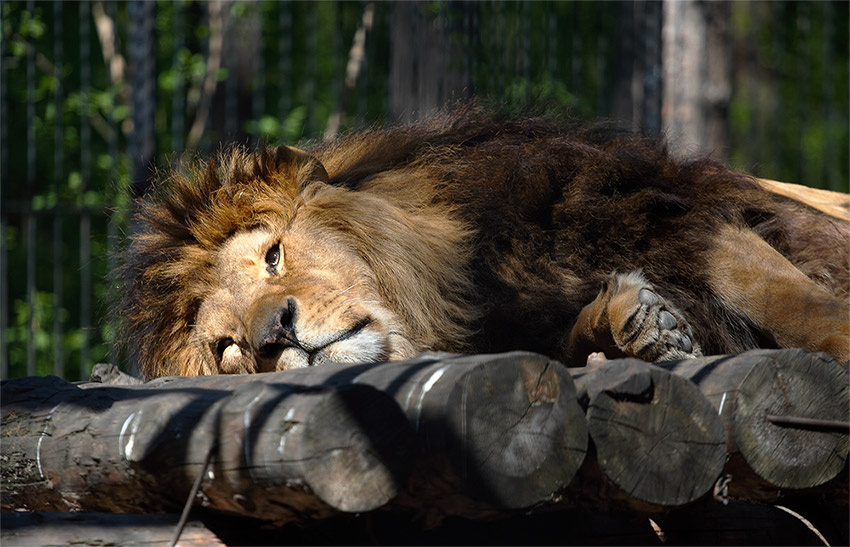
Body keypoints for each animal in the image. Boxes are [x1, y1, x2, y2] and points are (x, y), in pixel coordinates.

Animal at [116, 108, 850, 379]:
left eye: (273, 256)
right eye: (229, 348)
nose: (275, 335)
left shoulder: (678, 219)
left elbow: (797, 305)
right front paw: (638, 326)